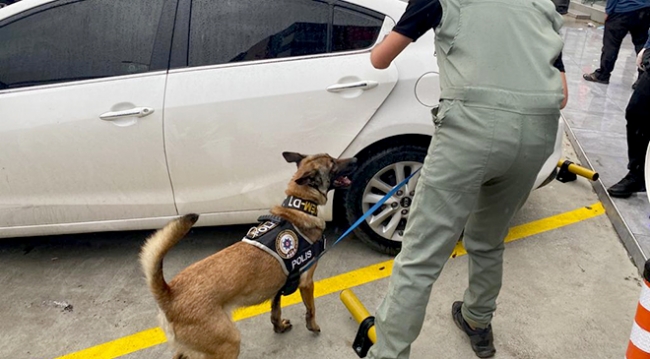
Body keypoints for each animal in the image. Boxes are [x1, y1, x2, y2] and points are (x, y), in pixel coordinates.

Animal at [139, 153, 356, 359]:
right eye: (332, 162)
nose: (355, 159)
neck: (299, 205)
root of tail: (170, 295)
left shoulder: (278, 287)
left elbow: (275, 310)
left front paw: (279, 327)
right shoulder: (306, 282)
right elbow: (311, 309)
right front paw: (313, 326)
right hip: (228, 344)